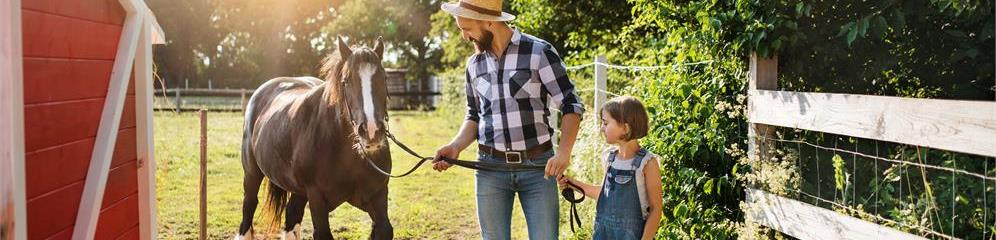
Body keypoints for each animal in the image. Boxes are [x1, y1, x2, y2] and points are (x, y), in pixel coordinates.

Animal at [237, 36, 392, 240]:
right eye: (346, 80)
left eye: (384, 78)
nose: (372, 131)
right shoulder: (316, 197)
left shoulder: (377, 196)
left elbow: (385, 228)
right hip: (252, 174)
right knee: (249, 207)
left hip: (298, 191)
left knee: (292, 214)